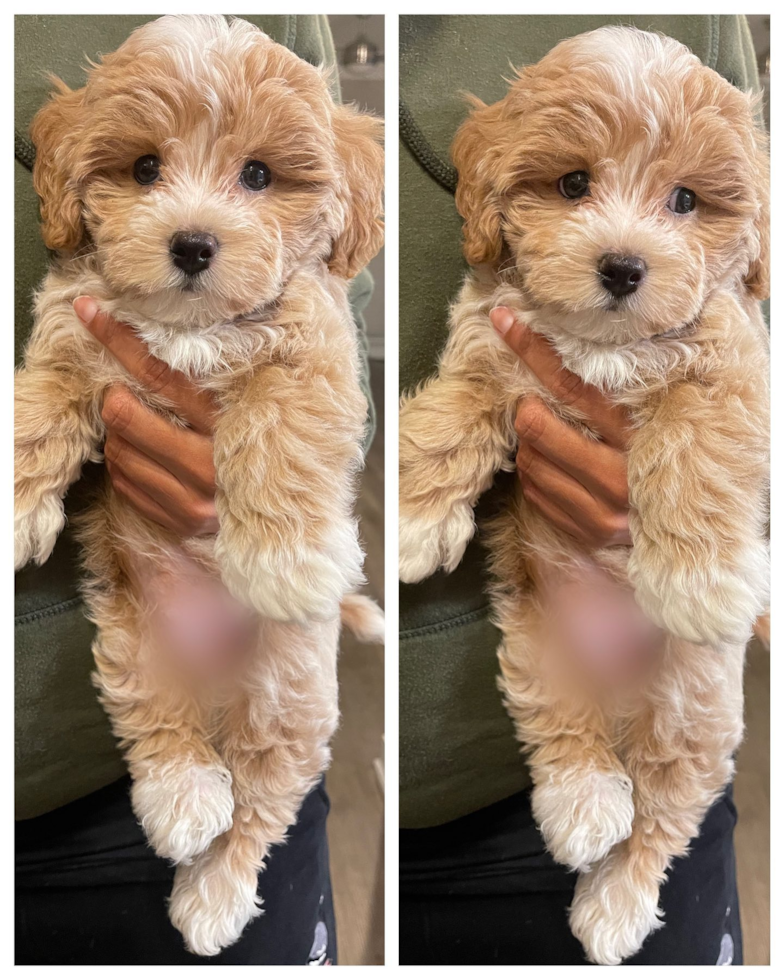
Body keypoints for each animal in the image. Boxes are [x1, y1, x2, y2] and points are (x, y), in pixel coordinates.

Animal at [16, 13, 384, 956]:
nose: (191, 244)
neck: (189, 330)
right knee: (163, 727)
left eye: (257, 174)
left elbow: (279, 429)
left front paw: (282, 560)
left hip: (290, 699)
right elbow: (39, 404)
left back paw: (214, 894)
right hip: (136, 643)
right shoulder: (74, 331)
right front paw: (15, 508)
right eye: (145, 168)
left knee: (261, 804)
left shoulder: (314, 357)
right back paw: (184, 800)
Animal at [402, 26, 768, 968]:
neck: (605, 347)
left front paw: (697, 581)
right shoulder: (494, 346)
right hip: (540, 644)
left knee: (663, 816)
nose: (623, 267)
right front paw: (417, 521)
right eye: (572, 184)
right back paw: (585, 808)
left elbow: (693, 441)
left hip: (695, 714)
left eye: (685, 199)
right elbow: (455, 410)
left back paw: (615, 906)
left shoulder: (732, 373)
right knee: (566, 733)